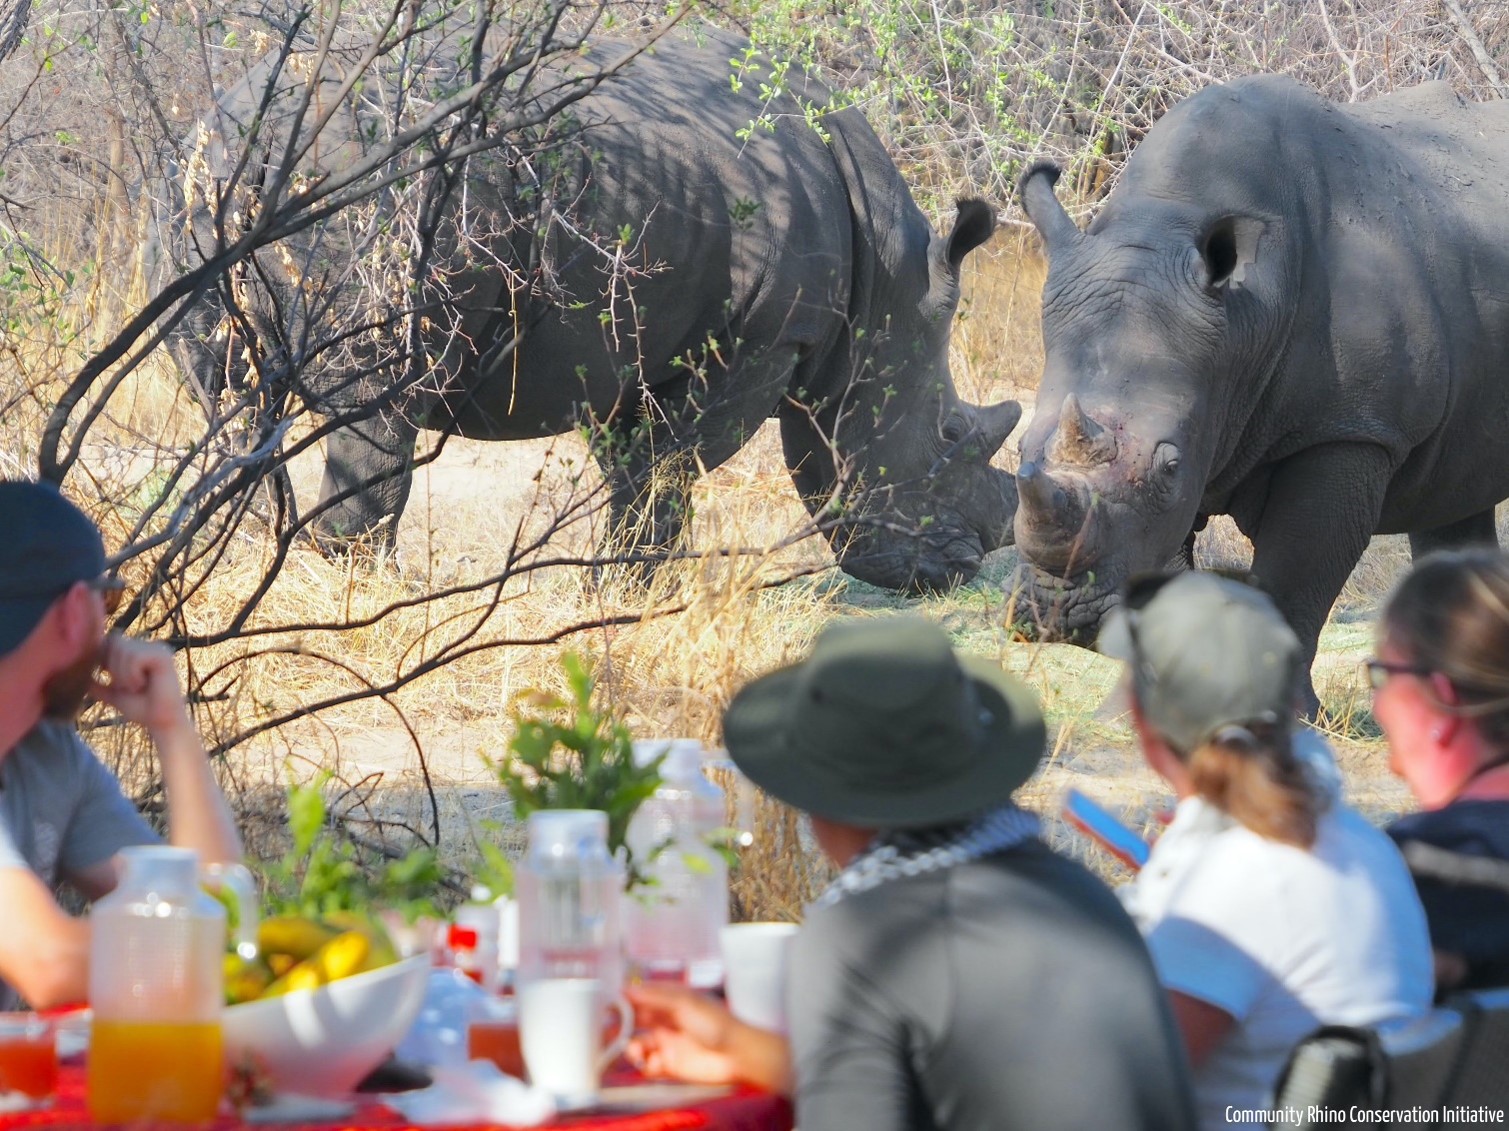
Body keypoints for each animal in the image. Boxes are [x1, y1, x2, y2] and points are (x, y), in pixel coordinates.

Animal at [166, 26, 1020, 592]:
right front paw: (640, 591)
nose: (965, 563)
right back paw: (367, 586)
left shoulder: (637, 335)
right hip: (379, 191)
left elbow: (634, 462)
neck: (888, 290)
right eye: (949, 435)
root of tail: (262, 132)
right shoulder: (766, 337)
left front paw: (617, 582)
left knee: (226, 393)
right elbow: (673, 464)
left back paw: (245, 551)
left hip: (199, 178)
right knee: (377, 398)